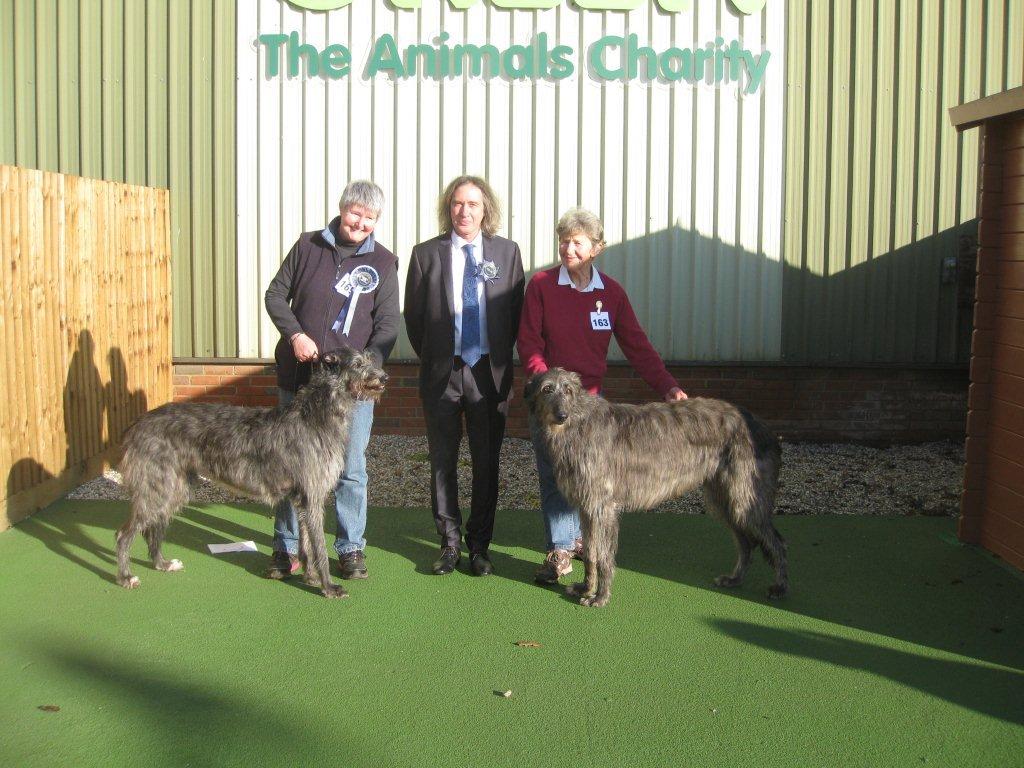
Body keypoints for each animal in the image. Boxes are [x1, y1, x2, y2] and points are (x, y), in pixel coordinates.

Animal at [116, 348, 385, 602]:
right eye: (357, 364)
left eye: (369, 359)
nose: (384, 377)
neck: (316, 417)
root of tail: (137, 424)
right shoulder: (312, 495)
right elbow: (319, 546)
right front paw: (328, 587)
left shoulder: (304, 499)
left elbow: (307, 544)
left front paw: (310, 577)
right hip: (157, 486)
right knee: (124, 534)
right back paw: (126, 576)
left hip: (174, 487)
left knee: (152, 530)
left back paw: (162, 564)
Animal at [524, 370, 786, 610]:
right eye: (547, 389)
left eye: (568, 391)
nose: (561, 416)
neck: (578, 424)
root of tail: (765, 428)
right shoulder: (587, 507)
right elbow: (590, 553)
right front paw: (585, 588)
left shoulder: (603, 507)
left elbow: (604, 557)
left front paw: (600, 597)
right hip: (722, 499)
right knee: (745, 543)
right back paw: (735, 579)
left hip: (744, 497)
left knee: (776, 540)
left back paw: (779, 587)